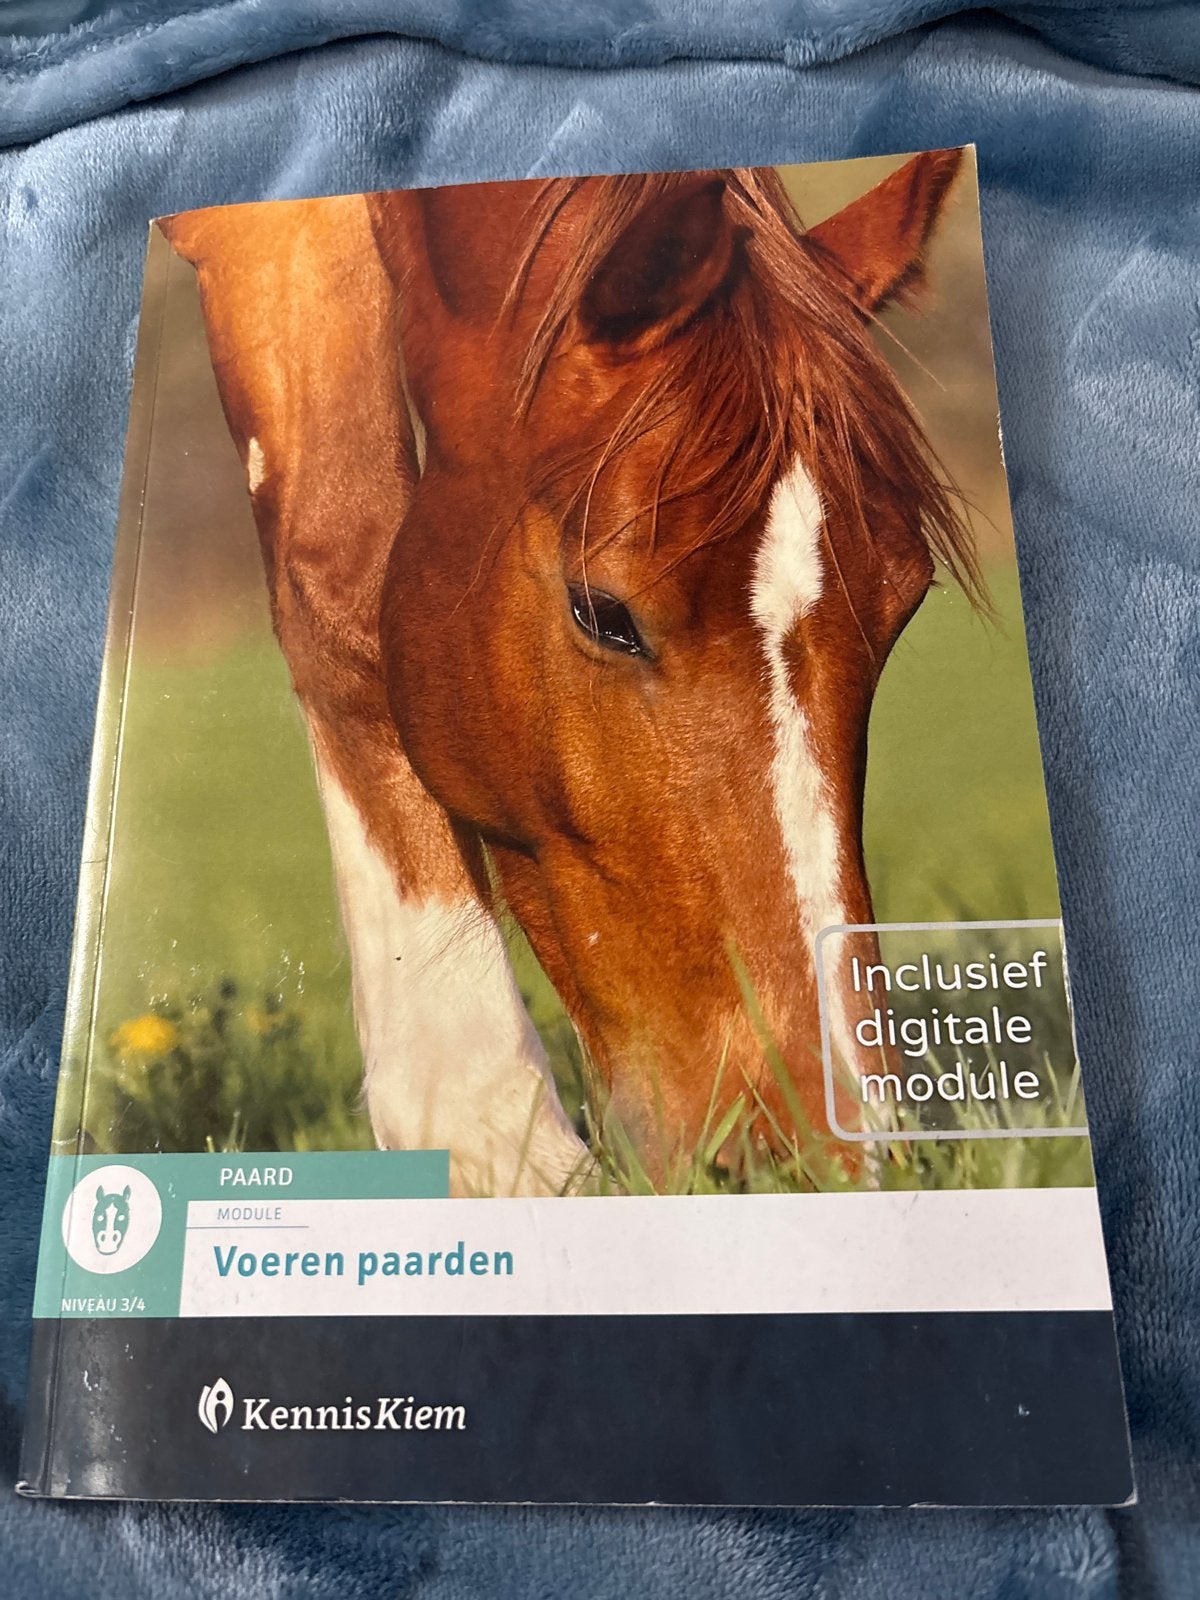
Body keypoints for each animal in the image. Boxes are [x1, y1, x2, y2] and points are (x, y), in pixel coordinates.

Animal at [160, 151, 977, 1196]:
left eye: (901, 605)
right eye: (604, 615)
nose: (832, 1156)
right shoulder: (274, 237)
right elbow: (340, 561)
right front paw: (489, 1139)